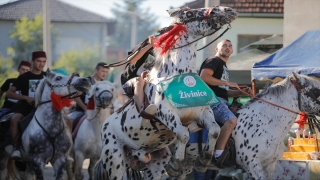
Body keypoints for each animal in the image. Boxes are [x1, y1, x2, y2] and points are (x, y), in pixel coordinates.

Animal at [94, 5, 239, 180]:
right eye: (190, 13)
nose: (227, 9)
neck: (177, 75)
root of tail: (104, 126)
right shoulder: (166, 113)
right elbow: (183, 134)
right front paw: (175, 164)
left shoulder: (203, 112)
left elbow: (215, 130)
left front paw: (203, 160)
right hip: (115, 160)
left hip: (153, 165)